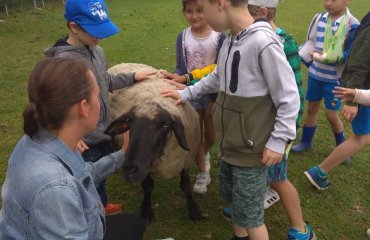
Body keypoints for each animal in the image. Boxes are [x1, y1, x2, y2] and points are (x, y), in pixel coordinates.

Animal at [105, 62, 202, 222]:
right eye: (129, 123)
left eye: (165, 126)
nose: (129, 169)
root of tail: (120, 64)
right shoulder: (146, 166)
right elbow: (148, 186)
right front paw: (146, 210)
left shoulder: (185, 159)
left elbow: (186, 185)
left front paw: (194, 210)